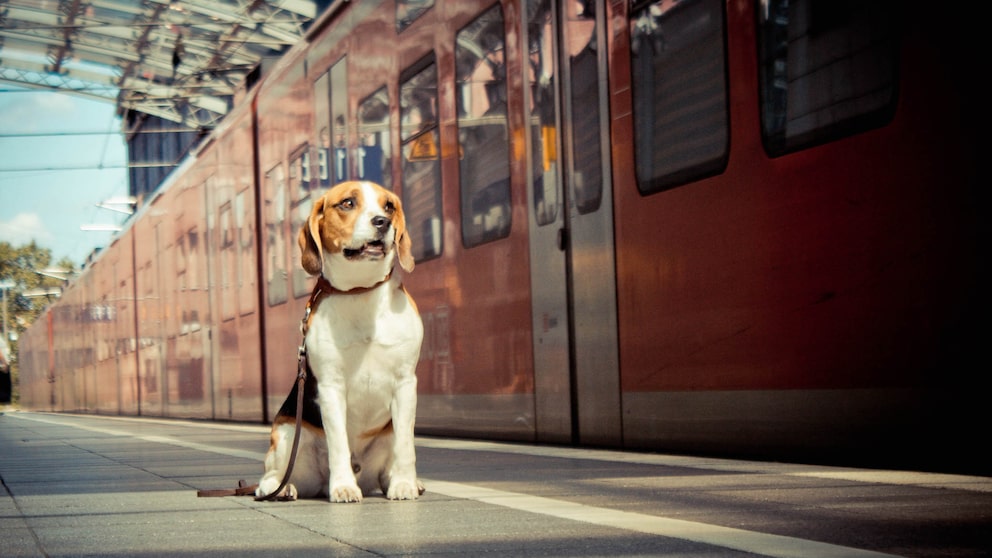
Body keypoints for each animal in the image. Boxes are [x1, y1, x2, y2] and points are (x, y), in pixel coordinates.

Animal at [256, 182, 422, 506]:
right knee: (272, 474)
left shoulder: (406, 383)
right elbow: (338, 443)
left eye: (388, 206)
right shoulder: (331, 387)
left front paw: (404, 484)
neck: (361, 291)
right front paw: (344, 487)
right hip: (286, 433)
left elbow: (406, 447)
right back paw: (280, 489)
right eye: (347, 203)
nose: (382, 222)